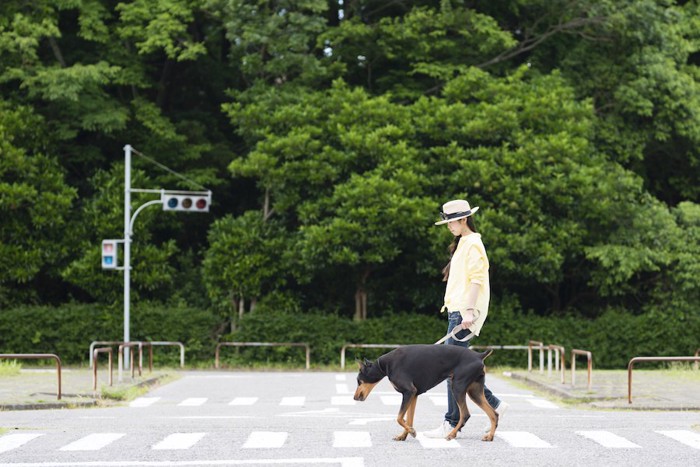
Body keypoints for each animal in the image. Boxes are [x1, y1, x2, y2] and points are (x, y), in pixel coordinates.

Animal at [356, 346, 498, 444]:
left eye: (358, 381)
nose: (354, 397)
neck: (385, 365)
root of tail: (479, 356)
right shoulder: (413, 395)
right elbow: (409, 419)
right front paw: (404, 435)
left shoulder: (409, 391)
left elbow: (399, 418)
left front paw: (412, 432)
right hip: (474, 391)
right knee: (493, 414)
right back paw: (490, 436)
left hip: (458, 387)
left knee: (466, 414)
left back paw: (452, 434)